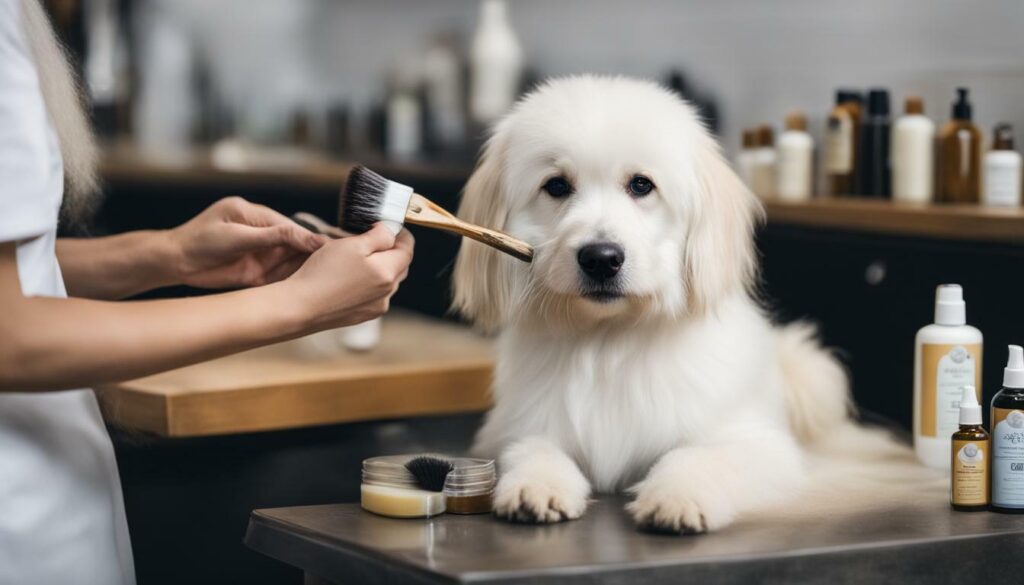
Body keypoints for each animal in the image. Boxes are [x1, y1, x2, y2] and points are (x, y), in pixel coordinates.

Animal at [452, 75, 868, 532]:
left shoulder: (758, 445)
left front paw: (677, 497)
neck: (609, 341)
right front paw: (536, 486)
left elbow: (697, 457)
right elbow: (532, 449)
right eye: (557, 186)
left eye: (641, 184)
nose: (601, 258)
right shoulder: (512, 430)